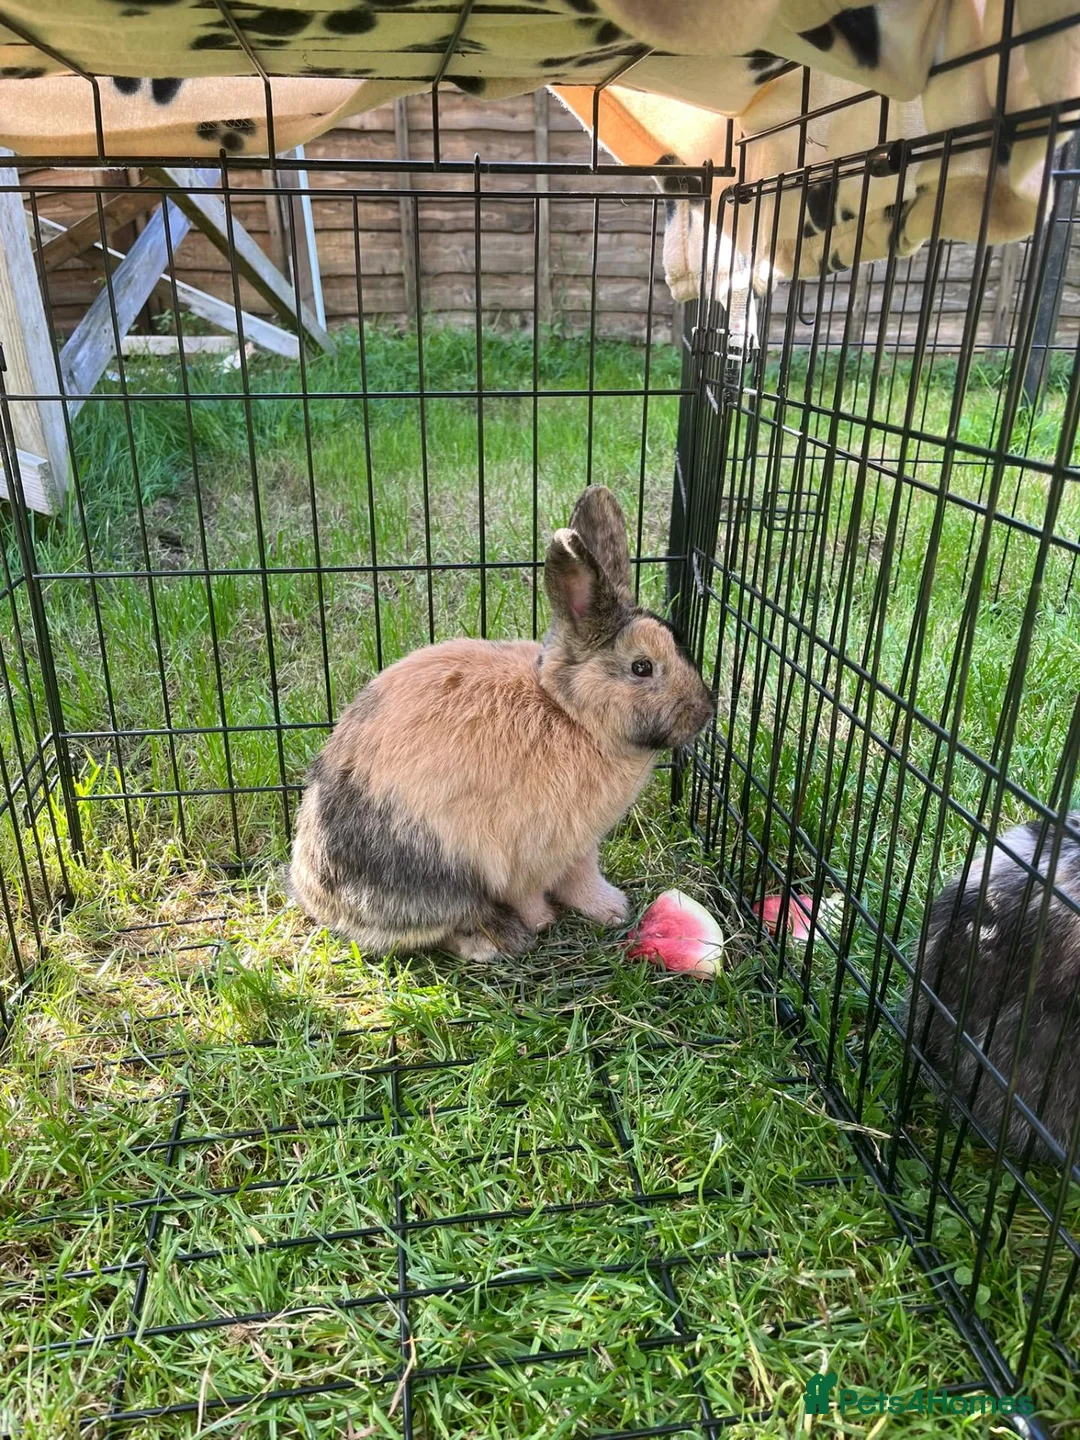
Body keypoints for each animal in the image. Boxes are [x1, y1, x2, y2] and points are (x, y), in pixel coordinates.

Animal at [286, 485, 715, 961]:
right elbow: (530, 893)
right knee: (446, 925)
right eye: (642, 667)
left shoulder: (579, 849)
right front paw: (545, 921)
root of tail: (316, 898)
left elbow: (582, 880)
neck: (571, 714)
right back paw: (499, 941)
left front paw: (612, 910)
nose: (705, 712)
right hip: (441, 877)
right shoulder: (529, 857)